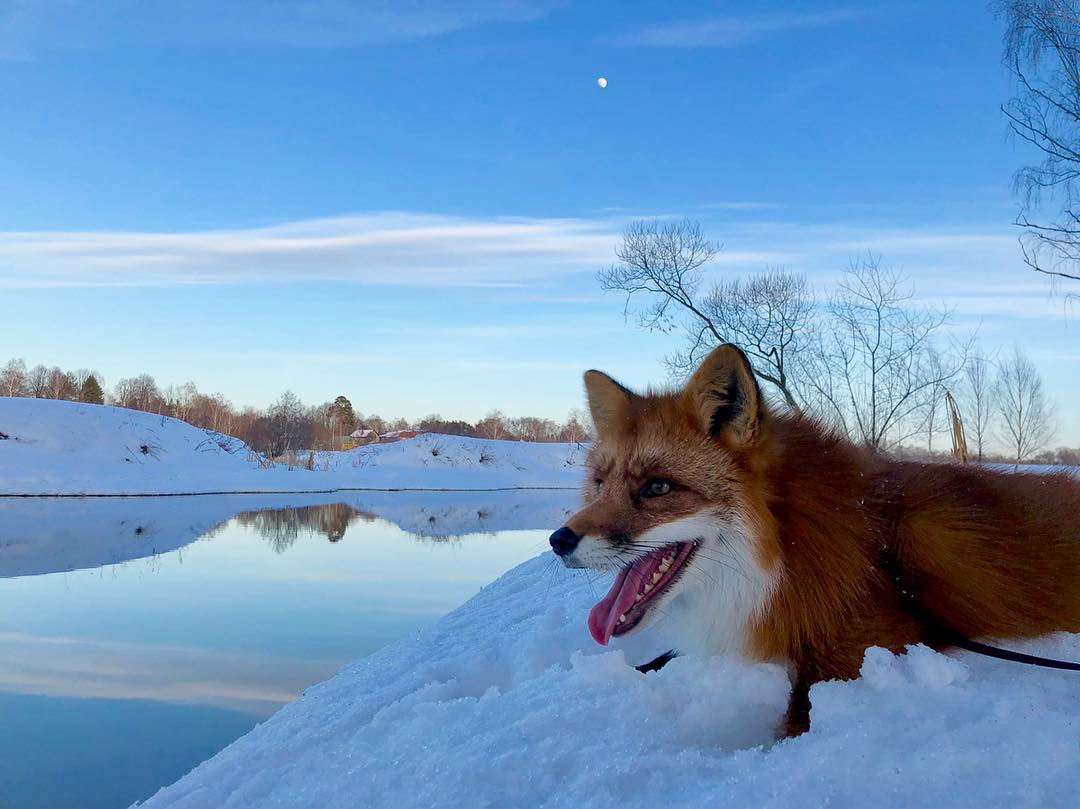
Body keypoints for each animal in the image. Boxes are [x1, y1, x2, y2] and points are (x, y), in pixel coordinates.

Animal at [552, 343, 1075, 734]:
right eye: (600, 483)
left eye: (658, 487)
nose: (558, 540)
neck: (785, 552)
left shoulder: (878, 641)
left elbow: (799, 713)